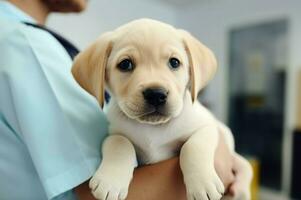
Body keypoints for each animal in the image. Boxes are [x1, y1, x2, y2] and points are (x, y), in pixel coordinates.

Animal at [71, 18, 251, 200]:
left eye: (174, 62)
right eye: (125, 64)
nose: (156, 94)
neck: (154, 128)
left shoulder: (209, 126)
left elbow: (193, 146)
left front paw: (203, 184)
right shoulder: (114, 133)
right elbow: (119, 142)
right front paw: (110, 181)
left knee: (246, 167)